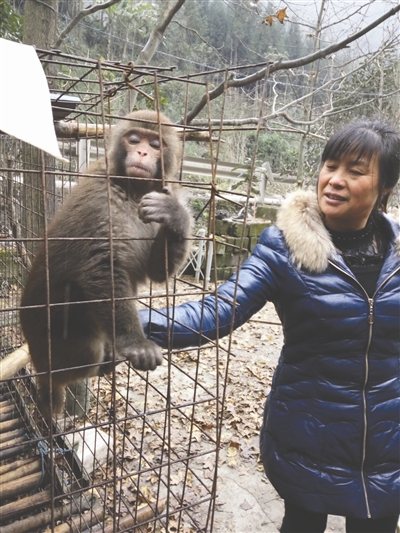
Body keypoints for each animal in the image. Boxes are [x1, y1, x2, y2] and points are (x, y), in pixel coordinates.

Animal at [20, 110, 192, 418]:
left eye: (155, 144)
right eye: (134, 139)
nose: (142, 152)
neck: (132, 190)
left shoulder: (161, 192)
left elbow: (156, 271)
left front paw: (175, 215)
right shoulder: (101, 199)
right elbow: (101, 267)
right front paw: (135, 344)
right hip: (48, 341)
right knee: (82, 344)